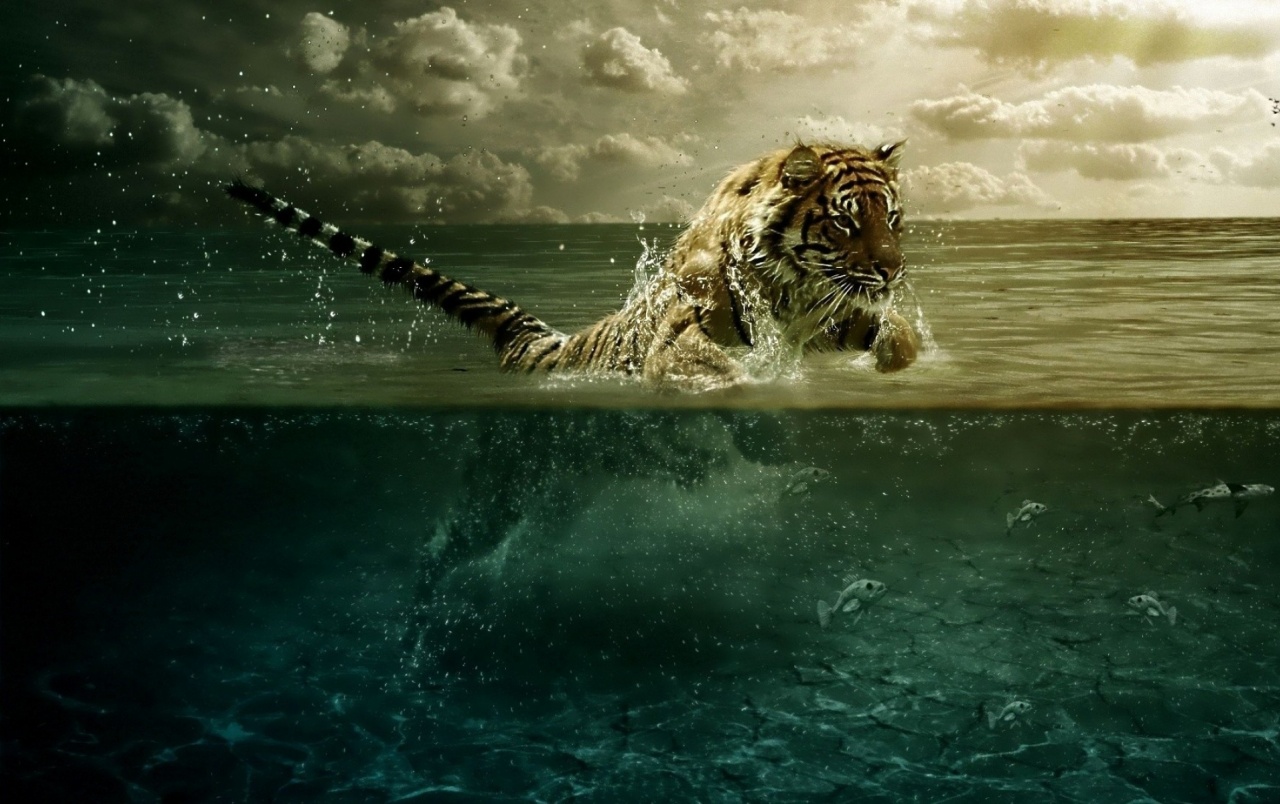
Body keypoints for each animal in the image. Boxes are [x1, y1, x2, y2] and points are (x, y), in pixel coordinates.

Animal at [226, 141, 920, 389]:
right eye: (845, 221)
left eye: (892, 218)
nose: (892, 272)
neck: (794, 290)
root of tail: (541, 343)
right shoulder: (683, 334)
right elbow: (711, 366)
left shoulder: (832, 313)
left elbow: (896, 337)